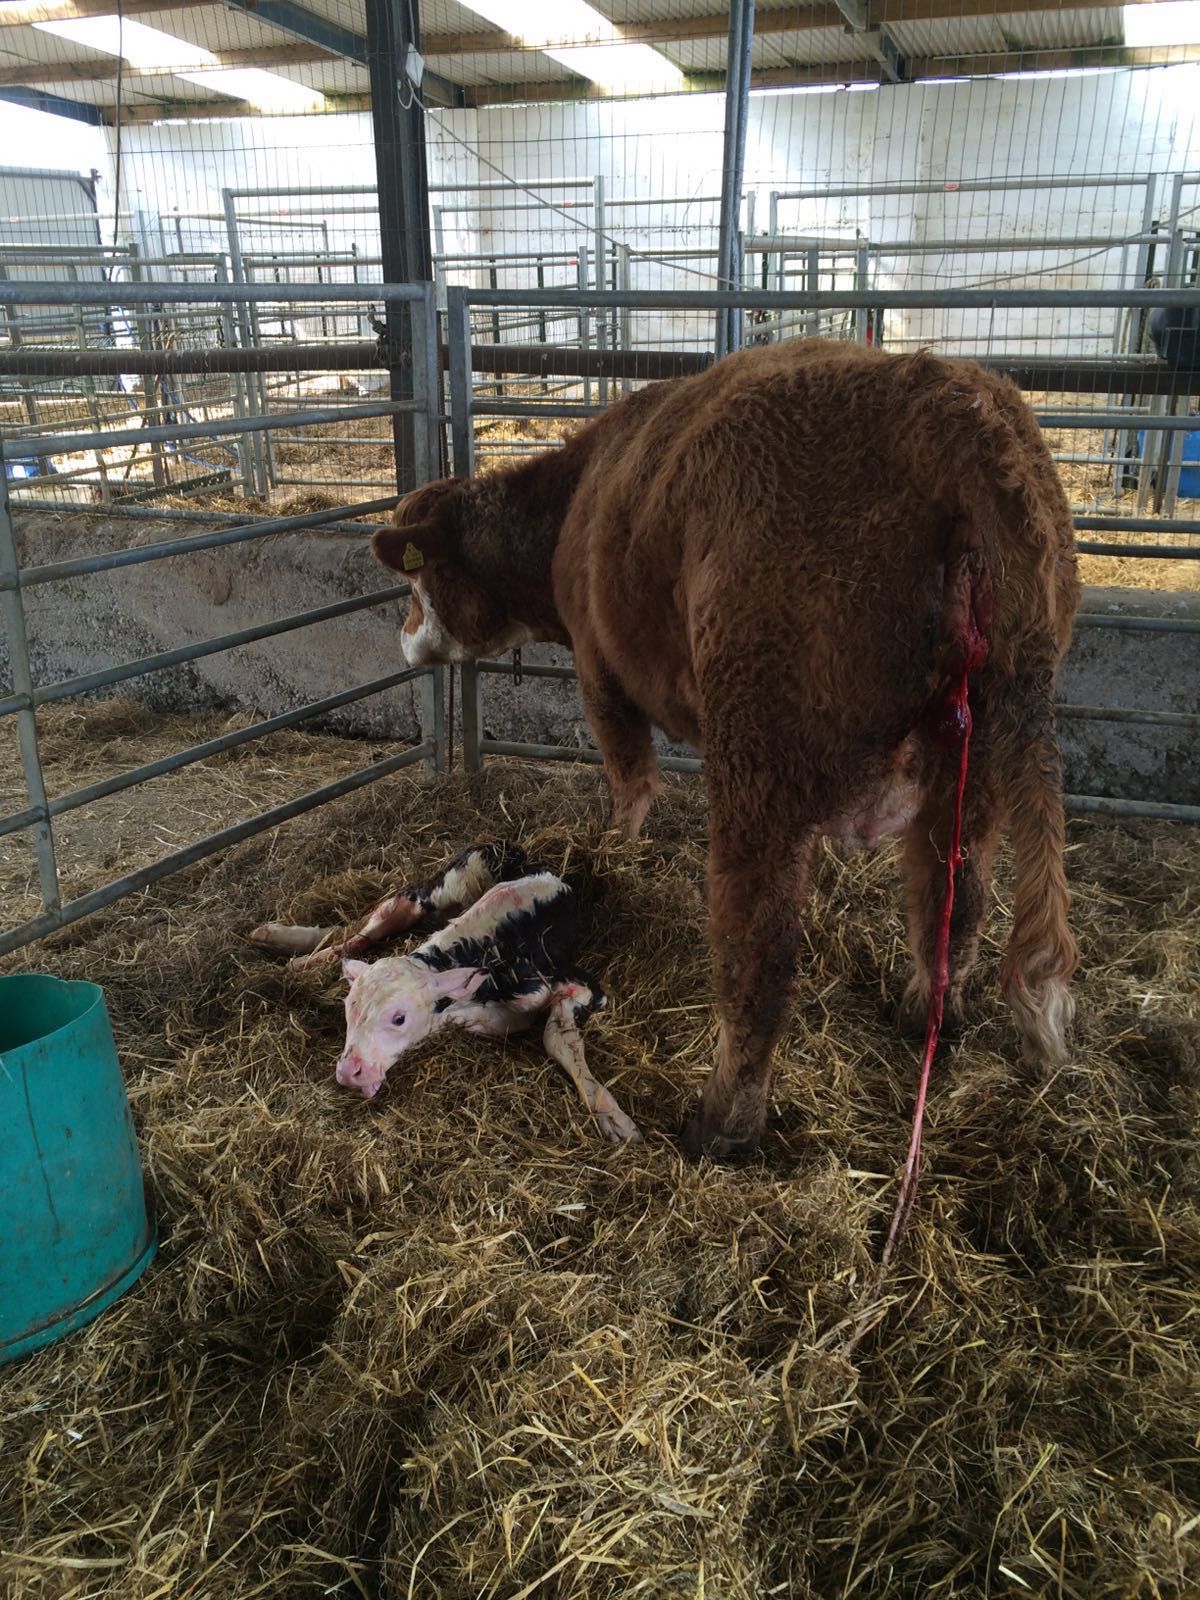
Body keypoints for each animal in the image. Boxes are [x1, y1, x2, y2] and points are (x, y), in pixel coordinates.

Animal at [370, 338, 1081, 1159]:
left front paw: (614, 854)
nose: (403, 639)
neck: (577, 500)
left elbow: (631, 784)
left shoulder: (600, 671)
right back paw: (925, 1013)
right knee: (954, 901)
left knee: (761, 952)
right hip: (976, 770)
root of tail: (957, 409)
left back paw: (722, 1123)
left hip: (759, 755)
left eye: (414, 584)